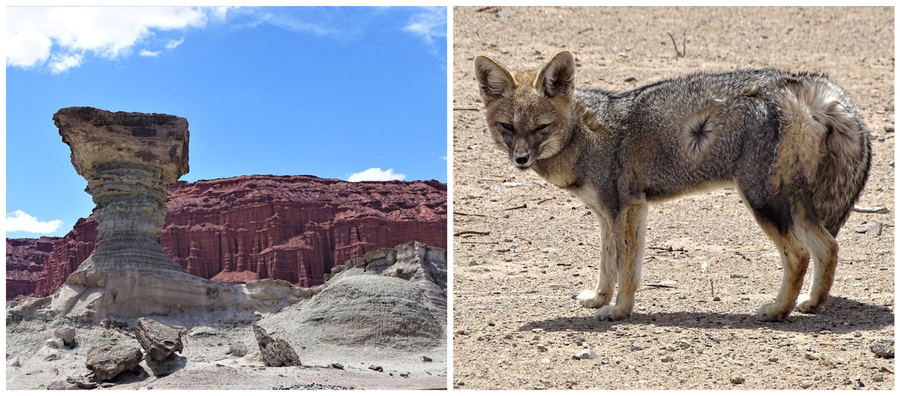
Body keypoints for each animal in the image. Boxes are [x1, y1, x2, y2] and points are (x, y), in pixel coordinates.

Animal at [474, 50, 868, 322]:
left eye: (541, 127)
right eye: (508, 127)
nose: (520, 160)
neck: (584, 136)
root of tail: (797, 83)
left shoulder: (627, 207)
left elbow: (627, 269)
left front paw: (619, 311)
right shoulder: (607, 213)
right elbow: (608, 264)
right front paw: (600, 298)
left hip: (762, 201)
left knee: (799, 254)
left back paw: (776, 311)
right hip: (790, 200)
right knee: (828, 246)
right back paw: (812, 303)